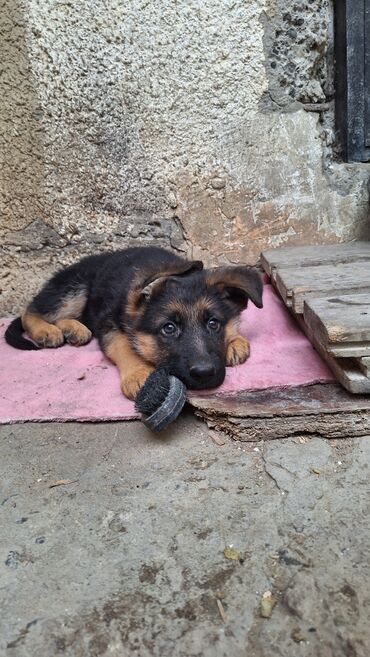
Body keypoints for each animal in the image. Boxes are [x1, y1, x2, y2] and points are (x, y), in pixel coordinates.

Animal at [4, 249, 262, 398]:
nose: (205, 373)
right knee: (31, 310)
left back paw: (73, 328)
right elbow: (124, 345)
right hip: (76, 287)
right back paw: (46, 330)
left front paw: (235, 341)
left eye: (213, 323)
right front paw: (140, 374)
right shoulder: (109, 325)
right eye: (169, 328)